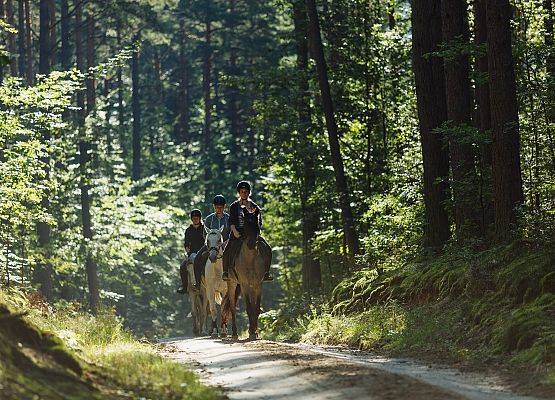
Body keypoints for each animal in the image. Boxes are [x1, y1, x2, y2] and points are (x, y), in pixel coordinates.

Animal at [225, 206, 270, 340]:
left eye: (257, 225)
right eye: (245, 224)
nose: (251, 244)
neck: (250, 259)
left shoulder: (258, 284)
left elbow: (256, 308)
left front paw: (255, 331)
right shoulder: (244, 284)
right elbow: (249, 307)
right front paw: (251, 332)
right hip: (232, 283)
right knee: (232, 307)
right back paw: (234, 334)